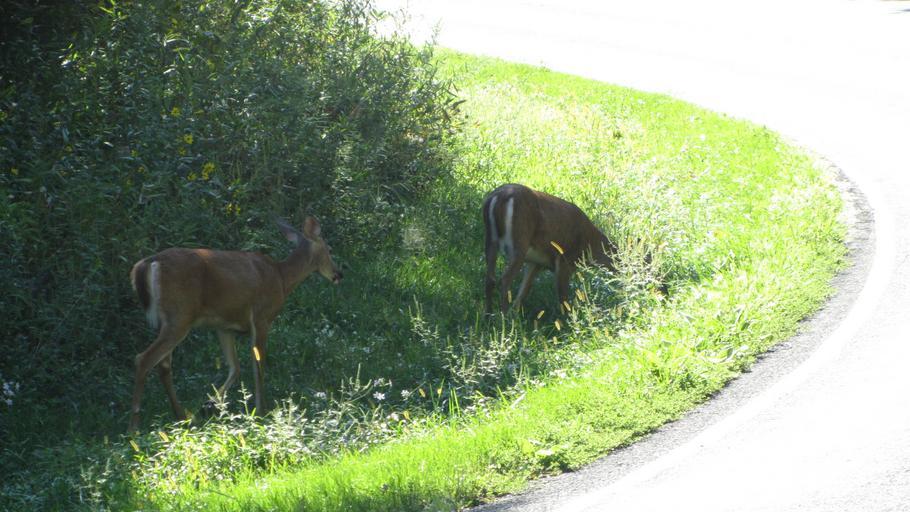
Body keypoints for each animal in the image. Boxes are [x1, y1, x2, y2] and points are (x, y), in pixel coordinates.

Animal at [128, 216, 342, 431]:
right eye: (330, 249)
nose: (338, 274)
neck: (281, 278)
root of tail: (147, 263)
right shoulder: (261, 317)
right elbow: (258, 365)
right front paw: (261, 410)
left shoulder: (224, 326)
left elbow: (235, 367)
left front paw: (209, 404)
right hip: (180, 315)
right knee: (143, 359)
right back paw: (134, 427)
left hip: (169, 320)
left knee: (163, 365)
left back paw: (182, 417)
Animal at [483, 183, 617, 314]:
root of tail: (499, 197)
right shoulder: (565, 260)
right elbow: (563, 298)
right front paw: (567, 319)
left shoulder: (536, 262)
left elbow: (524, 291)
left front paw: (516, 314)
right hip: (519, 242)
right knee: (504, 279)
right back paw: (504, 316)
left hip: (491, 240)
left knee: (490, 279)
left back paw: (489, 315)